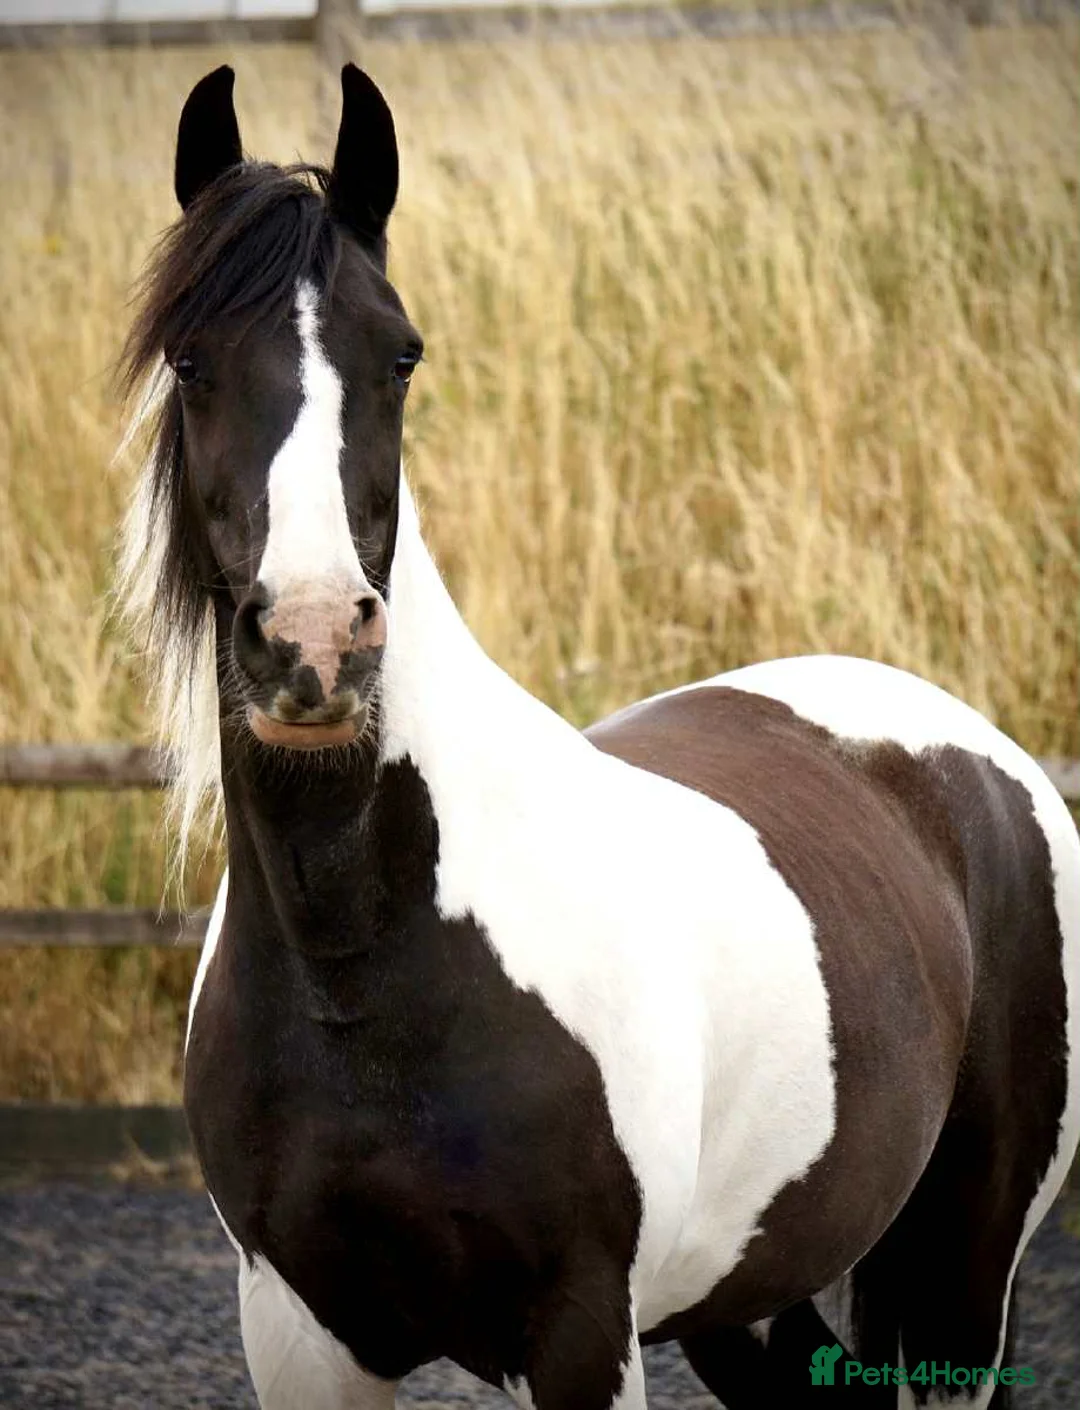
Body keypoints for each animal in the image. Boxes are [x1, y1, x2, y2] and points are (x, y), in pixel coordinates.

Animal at [118, 63, 1079, 1410]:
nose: (312, 642)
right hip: (754, 1297)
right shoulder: (301, 1334)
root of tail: (978, 758)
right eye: (191, 360)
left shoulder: (580, 1333)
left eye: (401, 354)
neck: (362, 961)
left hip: (964, 1271)